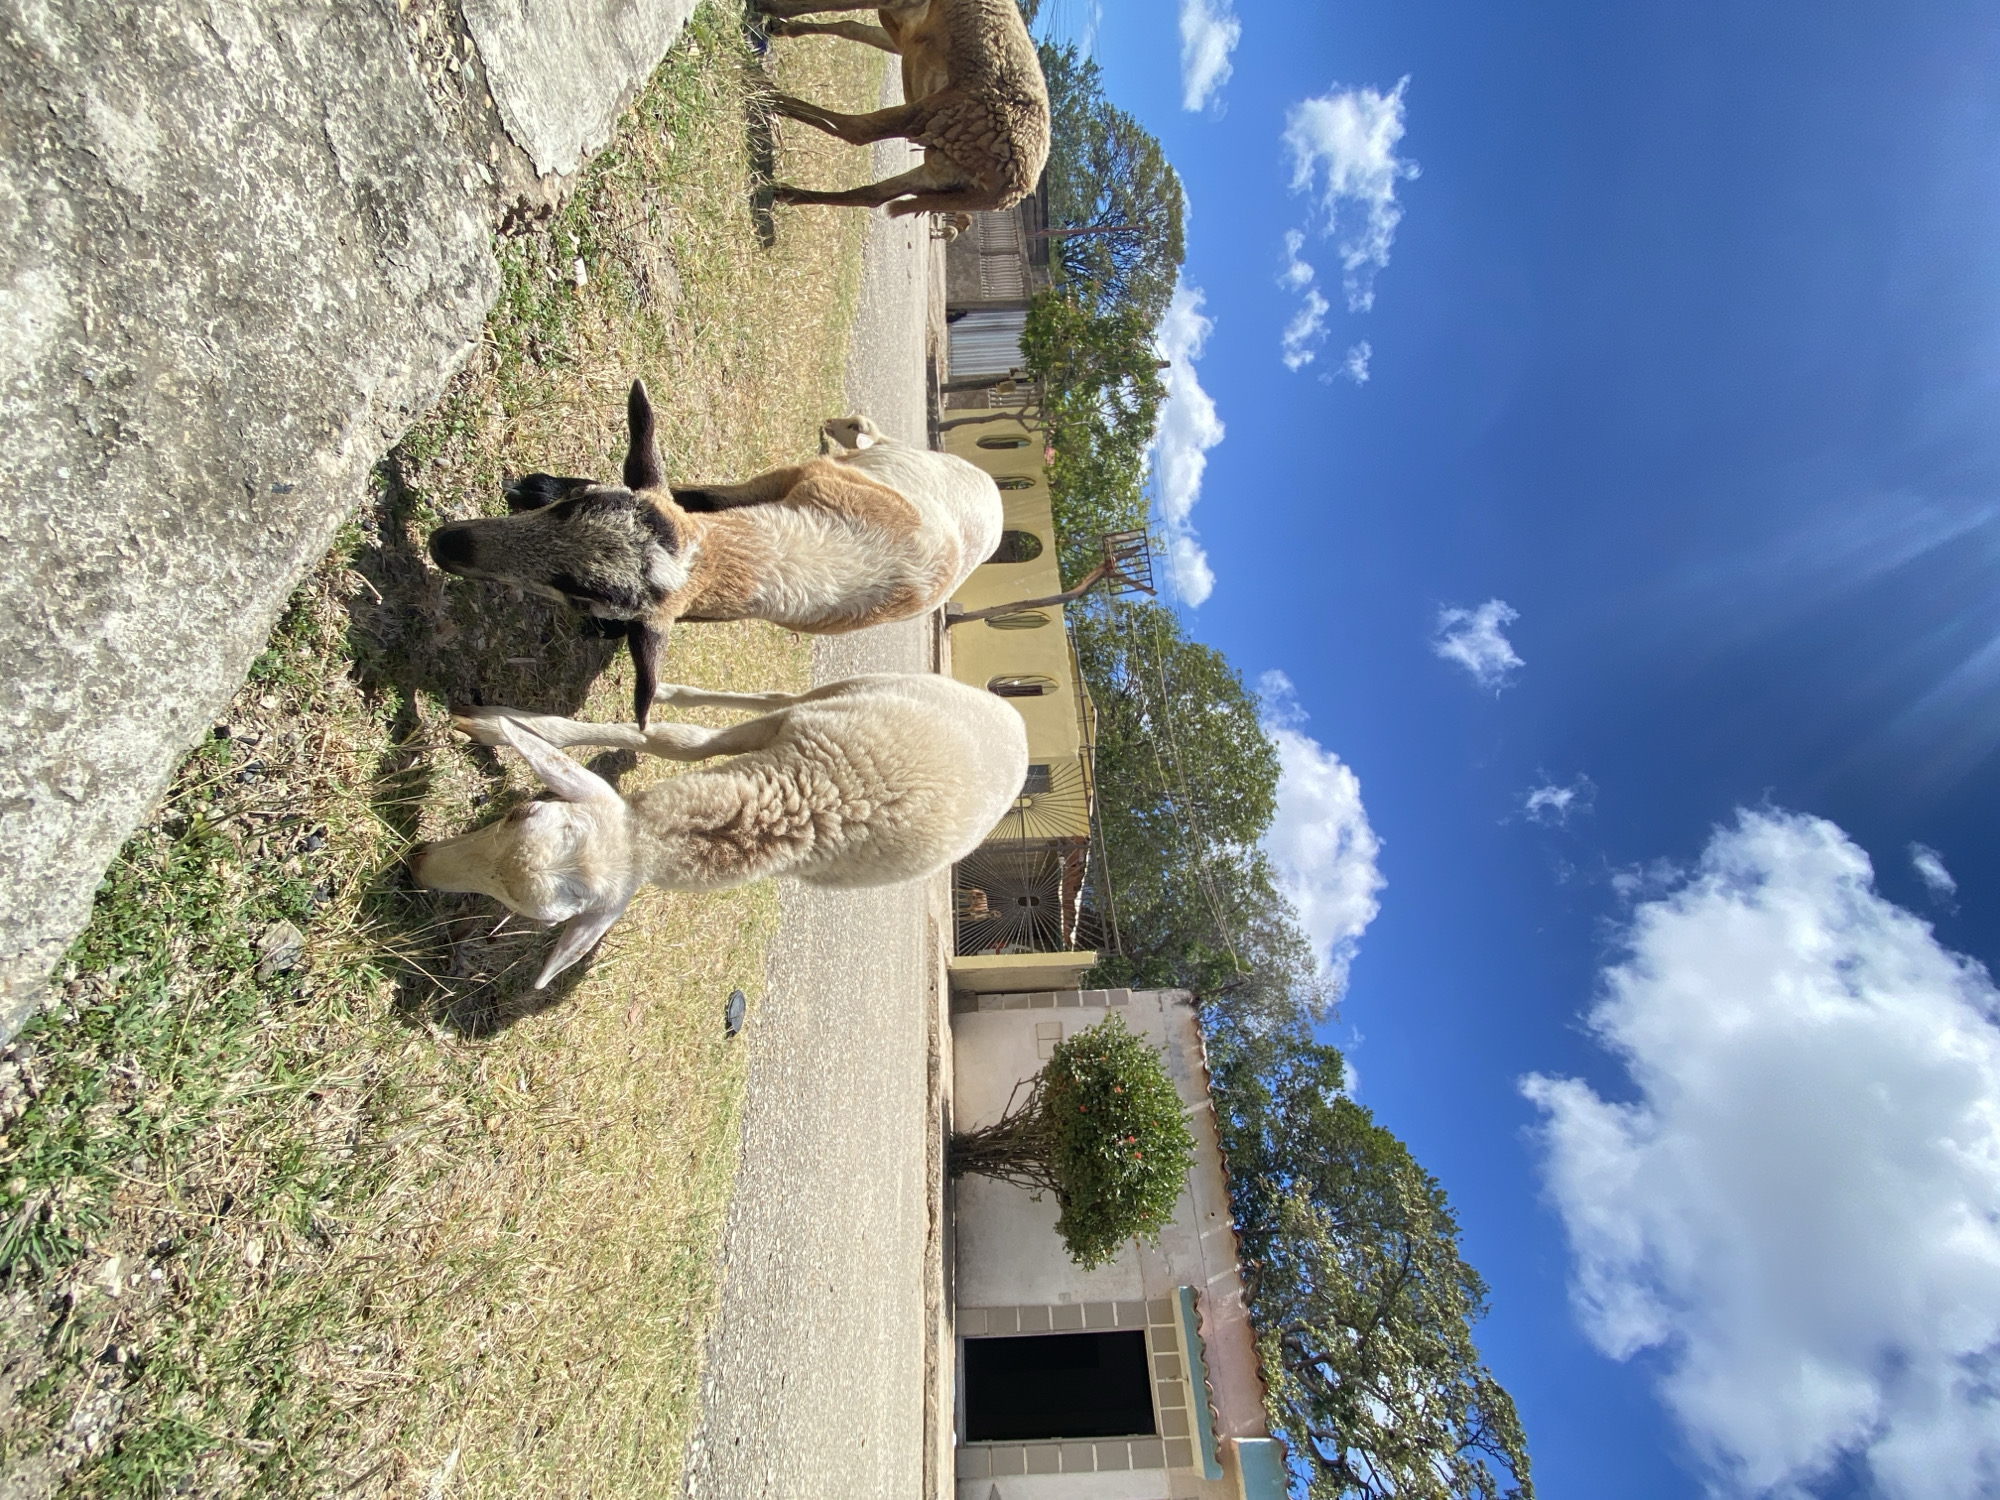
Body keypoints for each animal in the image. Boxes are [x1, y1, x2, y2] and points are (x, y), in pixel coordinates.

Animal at [412, 673, 1029, 988]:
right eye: (519, 814)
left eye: (539, 919)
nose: (417, 864)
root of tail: (1020, 726)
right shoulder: (780, 732)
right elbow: (678, 743)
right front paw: (500, 725)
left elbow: (673, 743)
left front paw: (503, 726)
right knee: (780, 695)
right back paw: (667, 690)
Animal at [426, 380, 1002, 727]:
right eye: (574, 507)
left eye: (577, 592)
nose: (445, 544)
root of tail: (994, 500)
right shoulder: (780, 483)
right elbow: (696, 497)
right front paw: (537, 487)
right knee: (871, 437)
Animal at [753, 0, 1051, 222]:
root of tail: (1012, 190)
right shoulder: (901, 31)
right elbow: (851, 27)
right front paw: (780, 26)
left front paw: (768, 8)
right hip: (942, 172)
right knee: (874, 195)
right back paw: (786, 193)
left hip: (939, 113)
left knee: (859, 129)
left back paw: (769, 96)